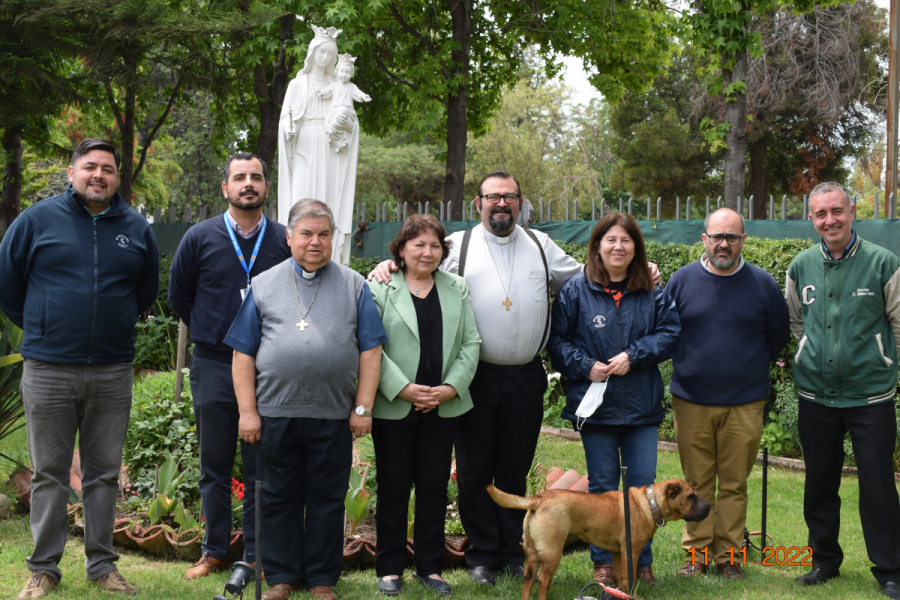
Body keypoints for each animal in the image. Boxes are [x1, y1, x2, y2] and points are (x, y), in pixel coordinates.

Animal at [492, 478, 712, 600]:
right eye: (691, 496)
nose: (709, 506)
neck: (651, 504)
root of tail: (538, 499)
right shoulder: (630, 551)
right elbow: (630, 578)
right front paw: (634, 596)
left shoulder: (618, 553)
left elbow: (621, 578)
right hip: (552, 554)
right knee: (544, 582)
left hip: (532, 556)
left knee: (528, 582)